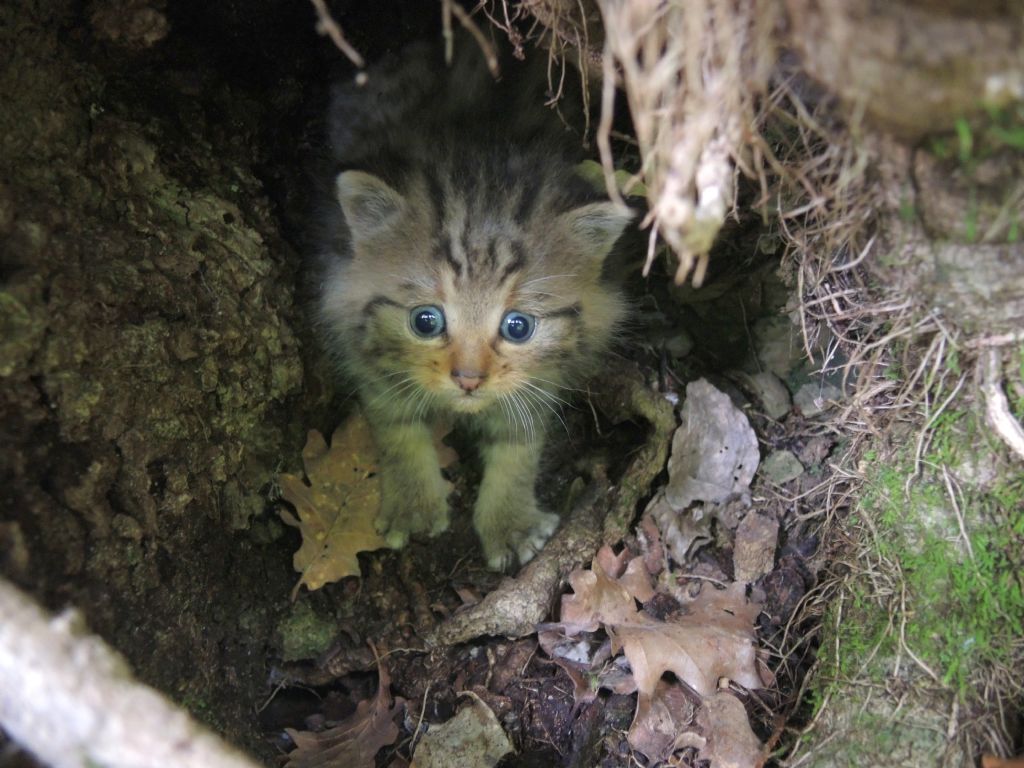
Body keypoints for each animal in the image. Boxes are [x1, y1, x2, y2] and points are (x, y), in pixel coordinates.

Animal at [311, 41, 630, 573]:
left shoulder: (542, 377)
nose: (468, 379)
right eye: (426, 320)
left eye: (518, 327)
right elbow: (393, 421)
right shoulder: (356, 337)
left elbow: (520, 442)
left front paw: (510, 521)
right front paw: (413, 502)